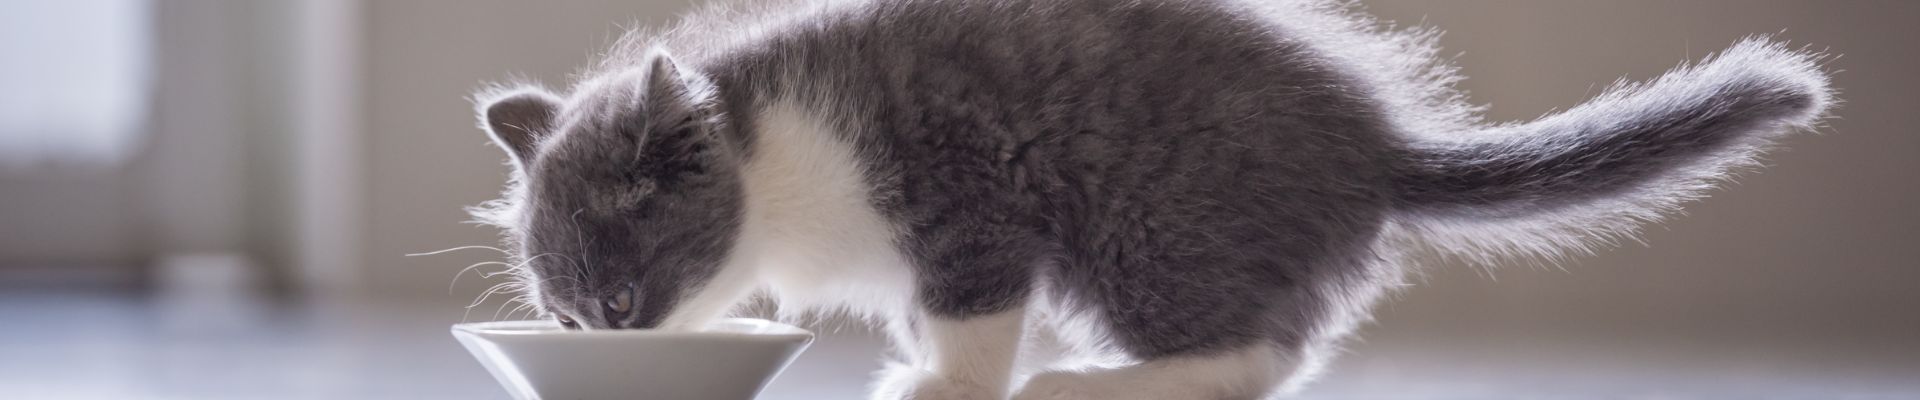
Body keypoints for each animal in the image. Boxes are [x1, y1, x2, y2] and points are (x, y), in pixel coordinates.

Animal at [464, 0, 1827, 396]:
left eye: (620, 300)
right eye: (574, 319)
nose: (605, 340)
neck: (764, 148)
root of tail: (1374, 145)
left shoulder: (967, 194)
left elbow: (970, 311)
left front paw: (945, 383)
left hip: (1144, 227)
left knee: (1256, 352)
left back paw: (1095, 380)